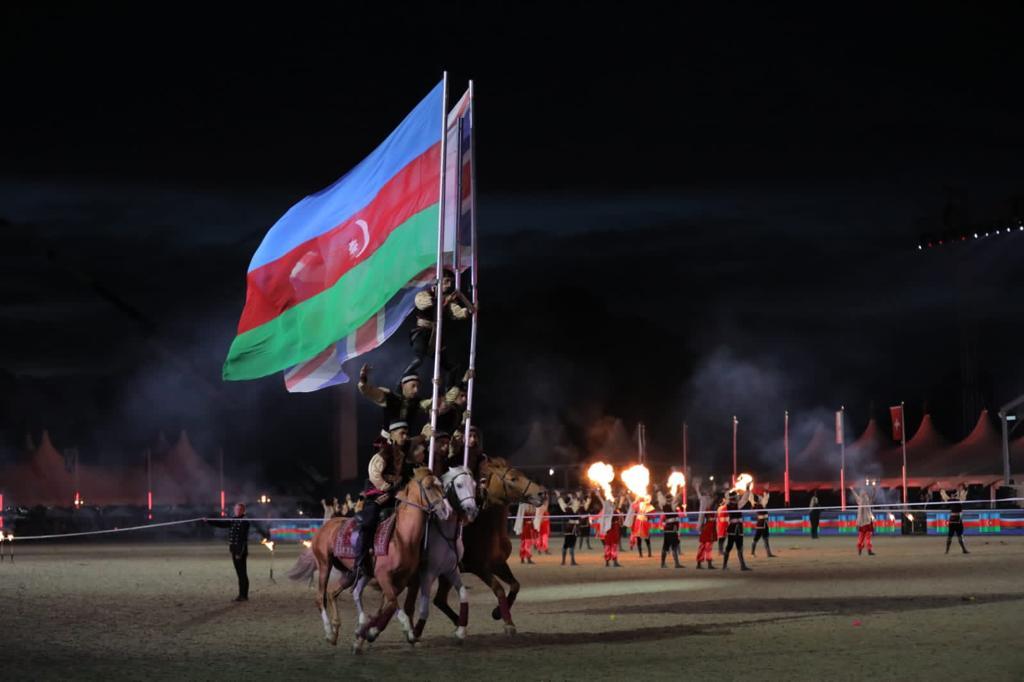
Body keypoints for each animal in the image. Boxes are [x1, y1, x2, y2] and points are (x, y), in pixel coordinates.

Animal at [288, 464, 448, 651]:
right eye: (429, 487)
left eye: (441, 486)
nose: (445, 510)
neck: (402, 538)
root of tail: (324, 527)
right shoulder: (383, 576)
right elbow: (392, 604)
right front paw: (396, 631)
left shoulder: (403, 580)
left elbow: (388, 607)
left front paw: (366, 633)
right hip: (324, 565)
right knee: (320, 598)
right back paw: (329, 633)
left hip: (350, 573)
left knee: (332, 593)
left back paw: (335, 632)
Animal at [399, 462, 479, 643]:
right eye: (459, 485)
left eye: (474, 485)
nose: (472, 510)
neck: (445, 532)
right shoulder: (427, 575)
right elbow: (424, 607)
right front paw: (416, 633)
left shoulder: (450, 571)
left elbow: (463, 594)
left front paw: (461, 629)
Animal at [430, 454, 544, 634]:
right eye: (513, 478)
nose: (541, 493)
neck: (486, 528)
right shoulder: (480, 568)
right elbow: (499, 589)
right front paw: (507, 622)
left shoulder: (498, 564)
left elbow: (515, 585)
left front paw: (497, 613)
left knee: (439, 600)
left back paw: (459, 622)